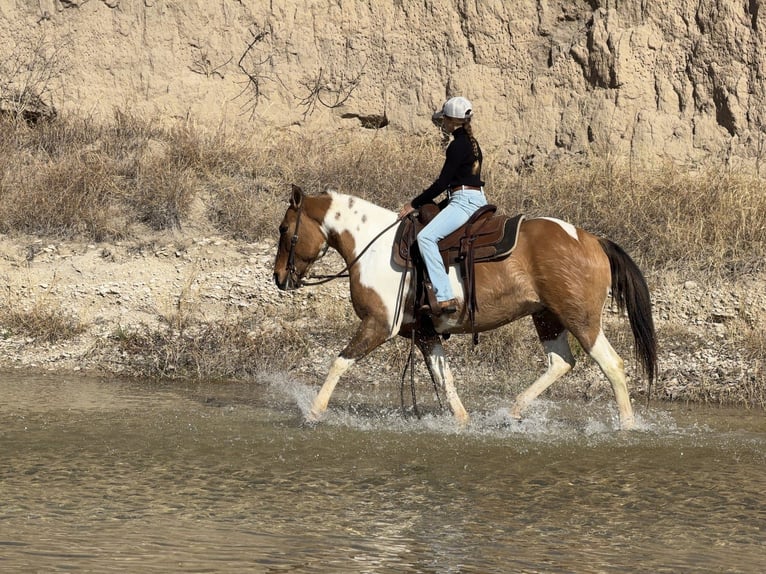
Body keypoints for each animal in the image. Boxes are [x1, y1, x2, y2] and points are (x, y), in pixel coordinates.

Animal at [273, 185, 657, 430]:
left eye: (284, 229)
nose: (279, 278)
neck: (374, 247)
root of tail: (593, 239)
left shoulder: (379, 324)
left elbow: (339, 363)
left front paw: (313, 413)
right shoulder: (424, 335)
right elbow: (444, 378)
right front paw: (462, 422)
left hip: (581, 319)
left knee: (612, 364)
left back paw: (627, 427)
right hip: (547, 317)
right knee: (561, 362)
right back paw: (512, 412)